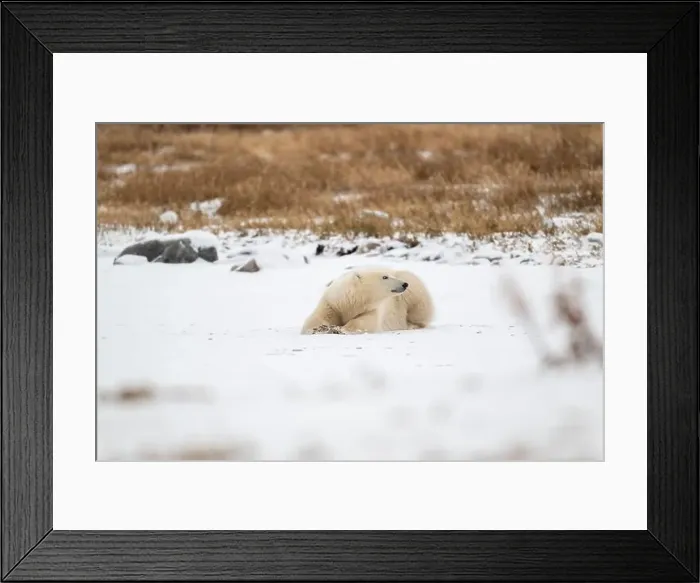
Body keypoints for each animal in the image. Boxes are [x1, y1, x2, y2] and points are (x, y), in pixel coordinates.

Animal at [301, 266, 434, 335]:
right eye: (385, 277)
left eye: (389, 275)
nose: (404, 284)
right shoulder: (332, 303)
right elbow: (316, 318)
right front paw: (318, 328)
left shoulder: (373, 309)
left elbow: (366, 321)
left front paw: (341, 329)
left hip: (413, 290)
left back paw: (411, 325)